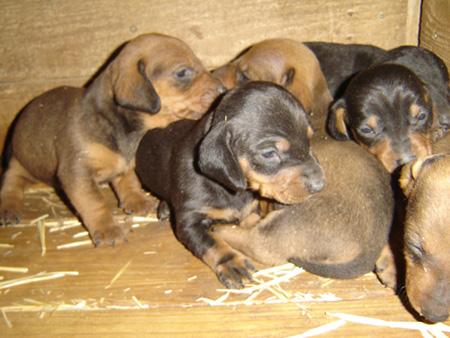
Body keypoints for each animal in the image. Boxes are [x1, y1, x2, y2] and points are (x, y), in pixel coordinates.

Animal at [0, 32, 224, 246]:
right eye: (182, 72)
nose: (222, 90)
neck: (125, 130)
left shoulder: (126, 164)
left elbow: (129, 182)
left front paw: (137, 201)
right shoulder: (77, 172)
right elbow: (94, 203)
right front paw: (108, 229)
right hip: (23, 162)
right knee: (11, 179)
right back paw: (9, 207)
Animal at [135, 82, 326, 288]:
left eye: (309, 139)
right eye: (269, 153)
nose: (320, 184)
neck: (231, 188)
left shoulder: (250, 209)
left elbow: (251, 221)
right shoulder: (190, 223)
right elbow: (211, 243)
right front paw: (232, 263)